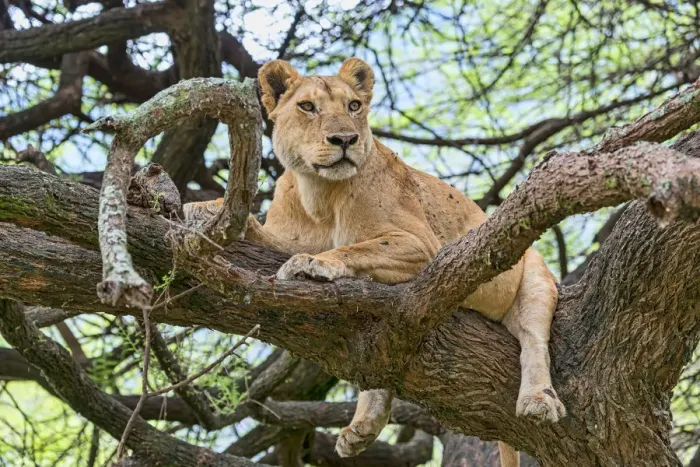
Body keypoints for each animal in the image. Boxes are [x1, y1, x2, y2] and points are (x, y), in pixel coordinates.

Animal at [184, 58, 565, 467]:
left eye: (353, 106)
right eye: (307, 107)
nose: (345, 140)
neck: (319, 193)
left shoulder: (423, 245)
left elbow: (353, 248)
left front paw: (311, 264)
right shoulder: (282, 237)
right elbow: (257, 229)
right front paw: (202, 208)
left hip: (534, 276)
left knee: (533, 340)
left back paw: (538, 401)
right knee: (378, 364)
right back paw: (362, 427)